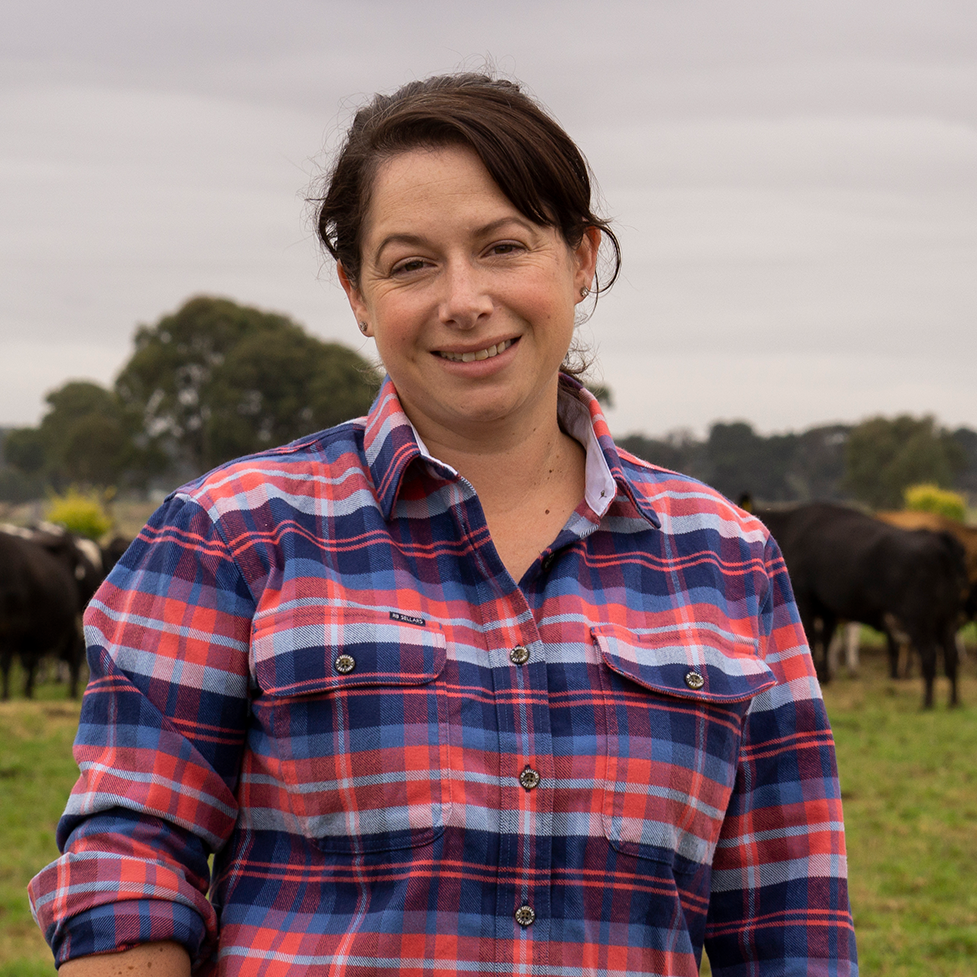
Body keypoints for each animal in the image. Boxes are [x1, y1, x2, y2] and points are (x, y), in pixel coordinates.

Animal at [0, 528, 100, 700]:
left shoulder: (15, 626)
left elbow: (6, 662)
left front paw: (6, 695)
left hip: (75, 623)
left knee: (75, 656)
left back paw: (72, 692)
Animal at [760, 508, 964, 704]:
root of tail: (937, 538)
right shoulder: (828, 609)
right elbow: (826, 640)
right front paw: (825, 677)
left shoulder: (806, 601)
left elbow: (811, 640)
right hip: (946, 620)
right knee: (952, 657)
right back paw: (953, 702)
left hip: (917, 619)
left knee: (929, 656)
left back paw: (927, 702)